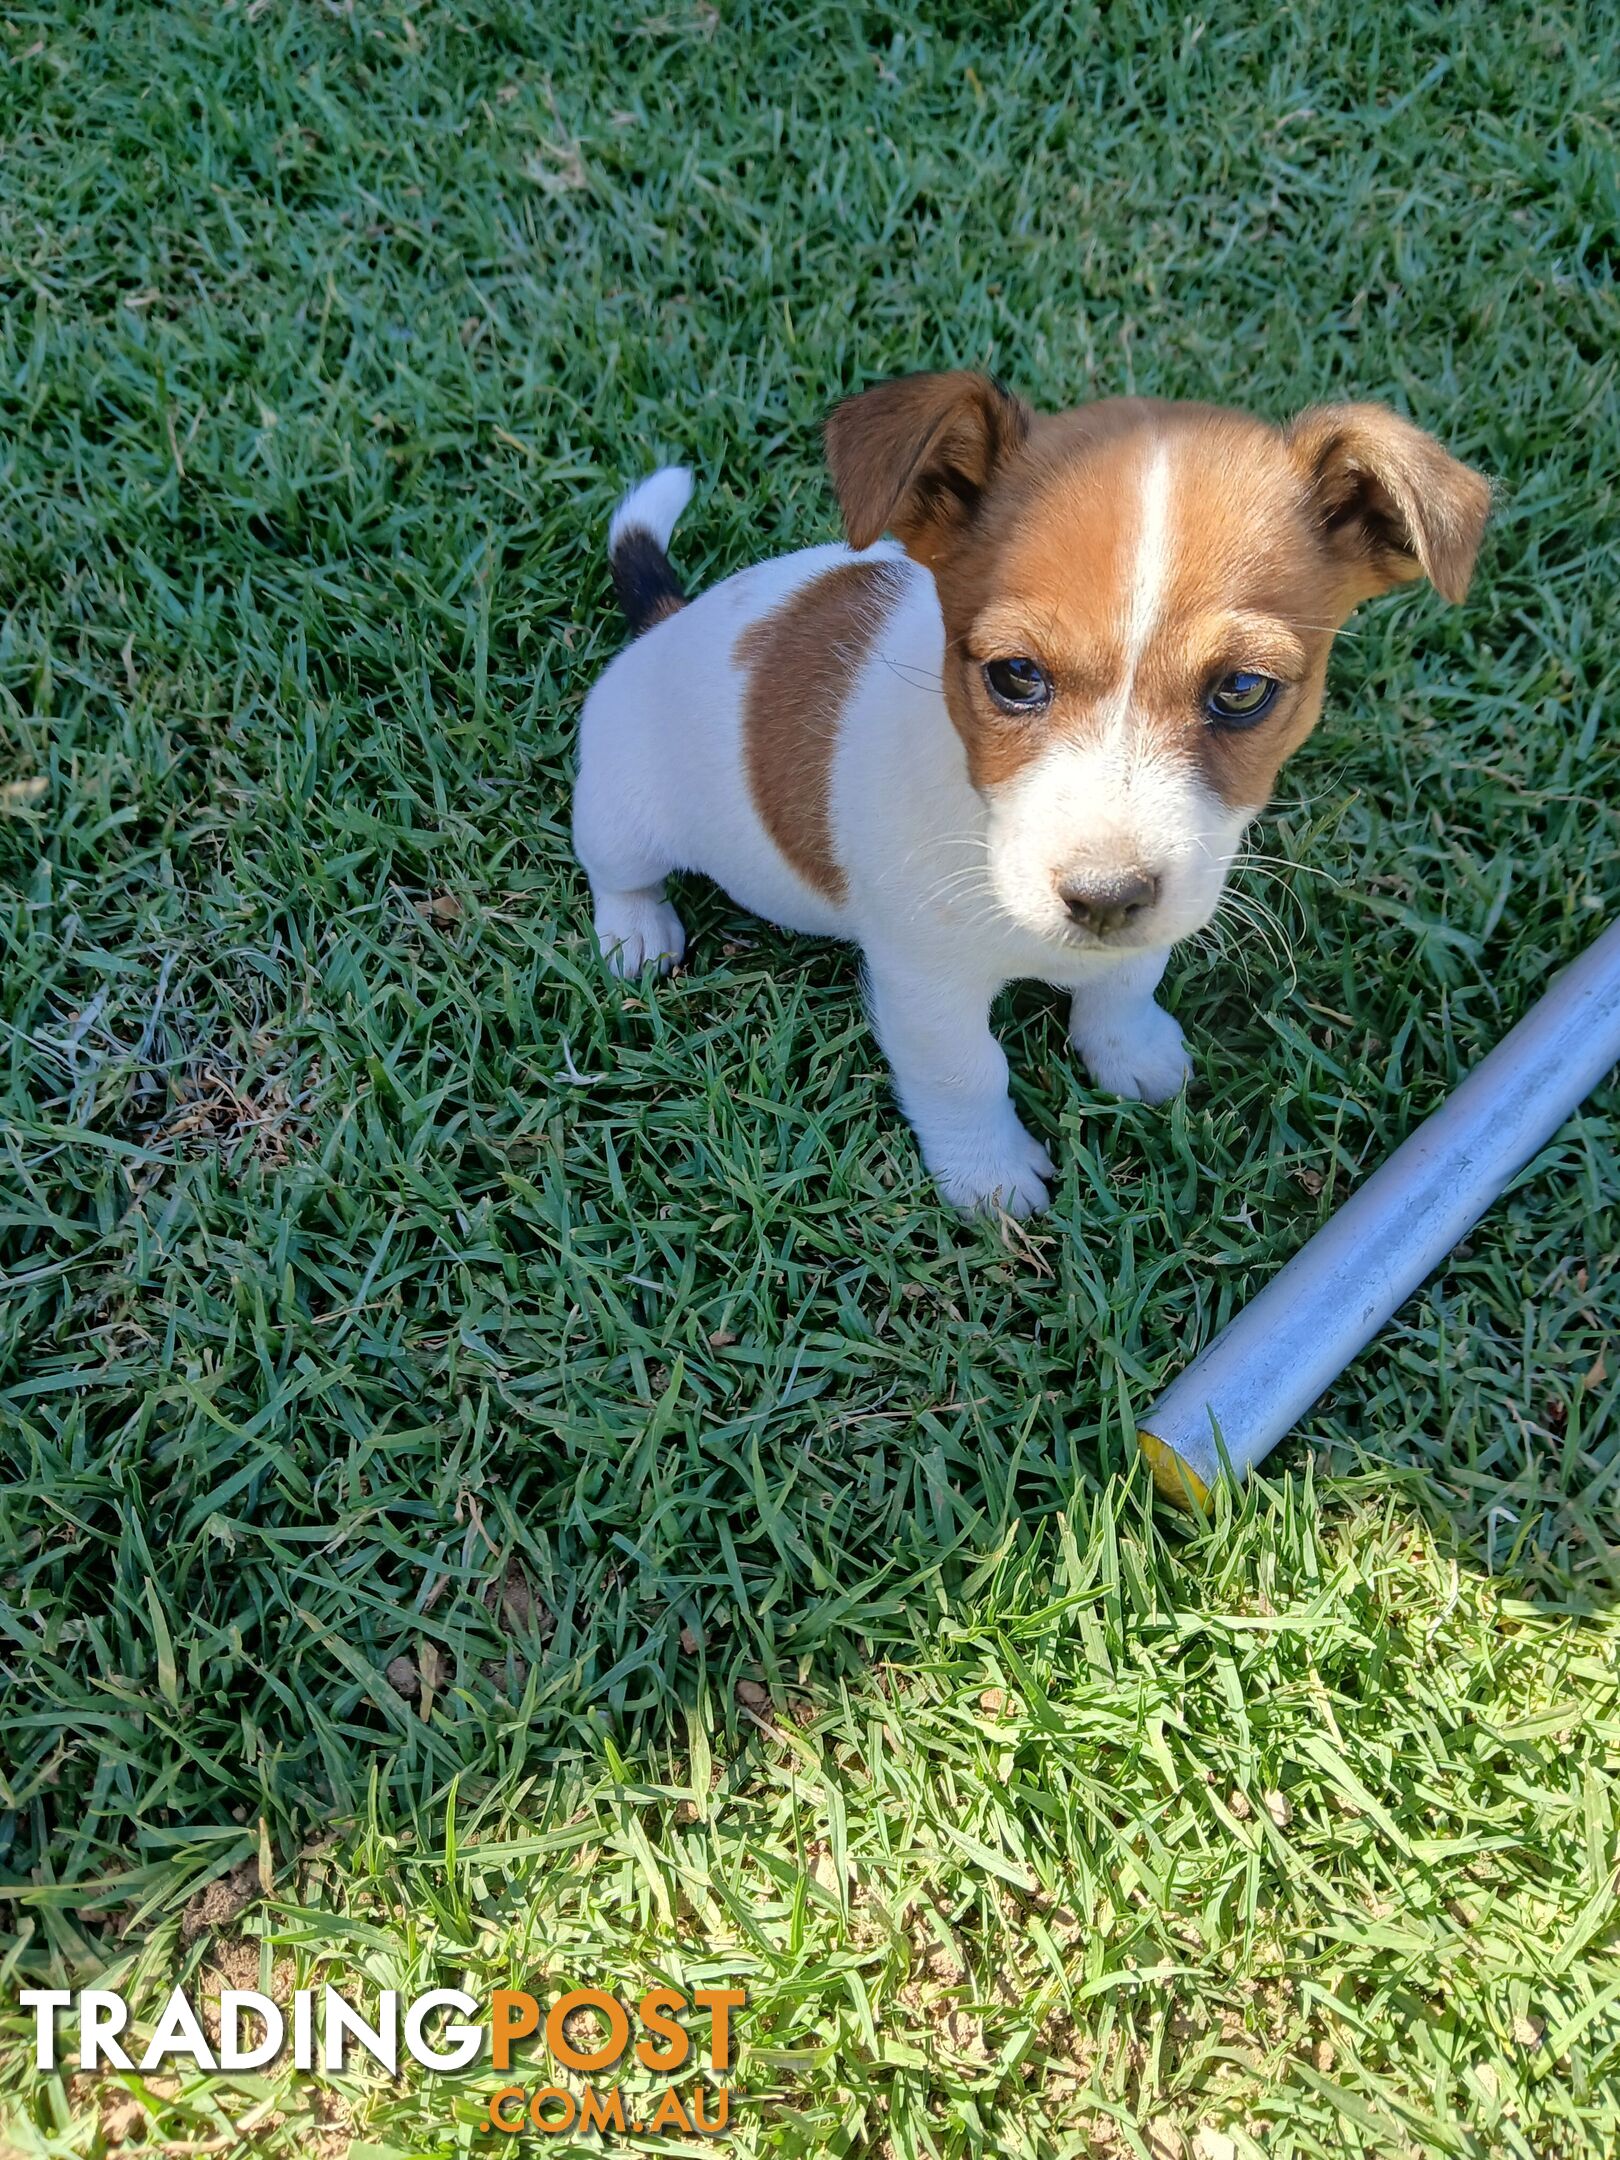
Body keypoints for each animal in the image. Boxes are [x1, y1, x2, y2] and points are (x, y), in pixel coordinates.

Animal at [574, 373, 1494, 1218]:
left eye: (1241, 690)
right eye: (1016, 675)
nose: (1103, 897)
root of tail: (668, 622)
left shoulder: (1153, 916)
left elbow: (1125, 983)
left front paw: (1127, 1050)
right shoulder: (926, 983)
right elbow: (965, 1073)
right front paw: (987, 1174)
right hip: (621, 810)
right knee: (617, 873)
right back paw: (637, 931)